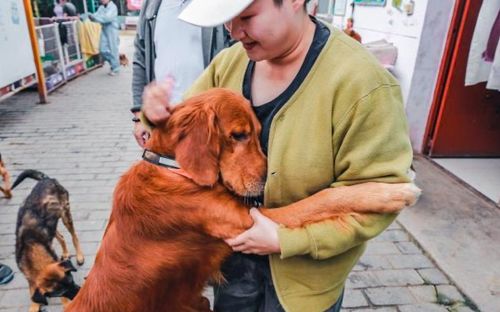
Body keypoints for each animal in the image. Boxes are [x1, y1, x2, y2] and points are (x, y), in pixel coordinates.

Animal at [12, 171, 84, 312]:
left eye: (71, 281)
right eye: (60, 292)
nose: (80, 293)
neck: (32, 250)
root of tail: (47, 179)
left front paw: (67, 305)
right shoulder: (29, 277)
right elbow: (32, 290)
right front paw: (34, 306)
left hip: (65, 215)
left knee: (74, 235)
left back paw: (79, 255)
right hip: (52, 225)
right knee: (61, 236)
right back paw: (66, 253)